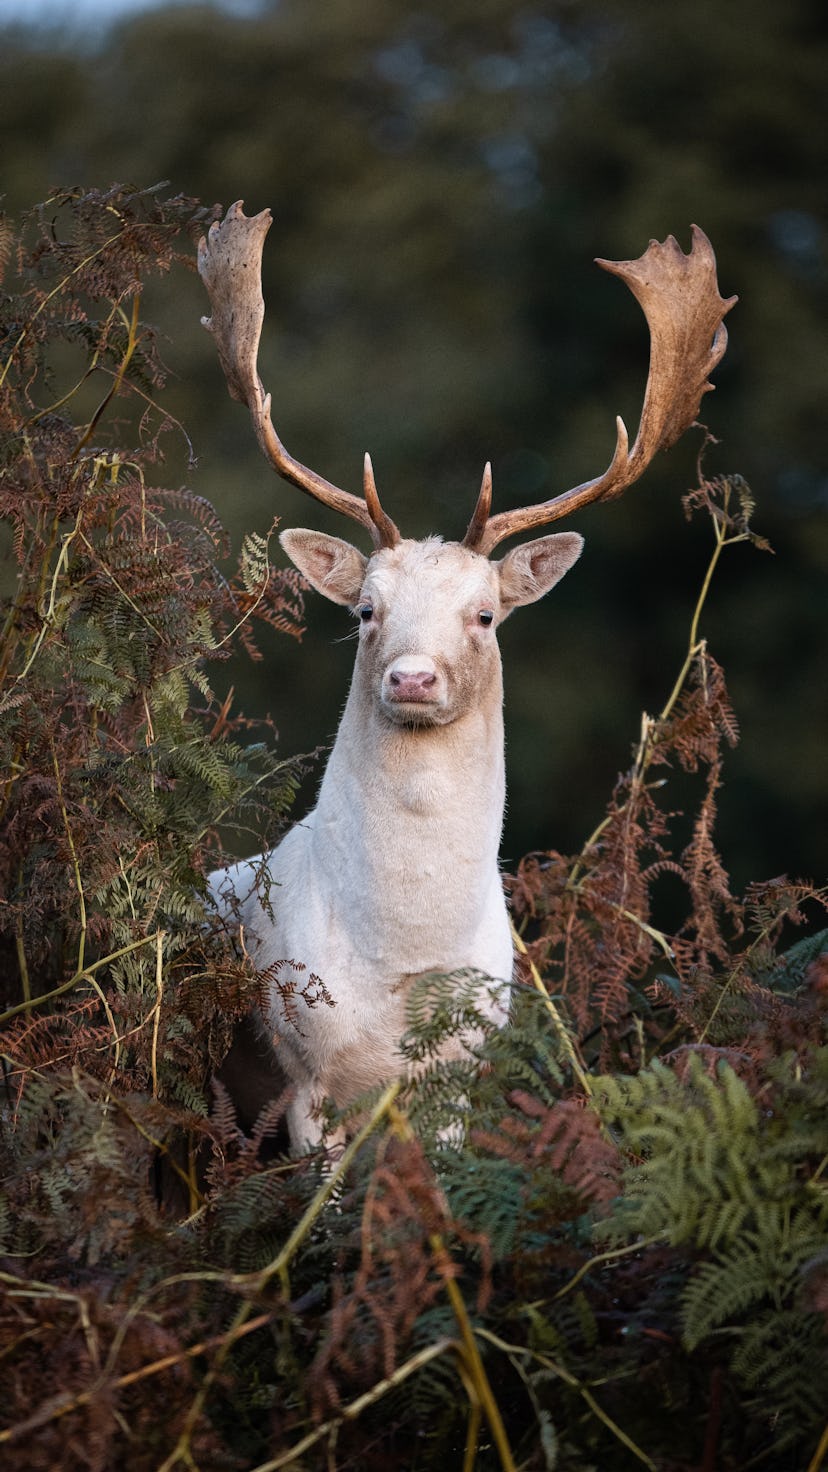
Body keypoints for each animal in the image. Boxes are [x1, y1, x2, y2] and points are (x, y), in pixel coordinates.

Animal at [198, 204, 727, 1148]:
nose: (411, 679)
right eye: (364, 609)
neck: (404, 962)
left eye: (485, 614)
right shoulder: (303, 1077)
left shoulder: (457, 1078)